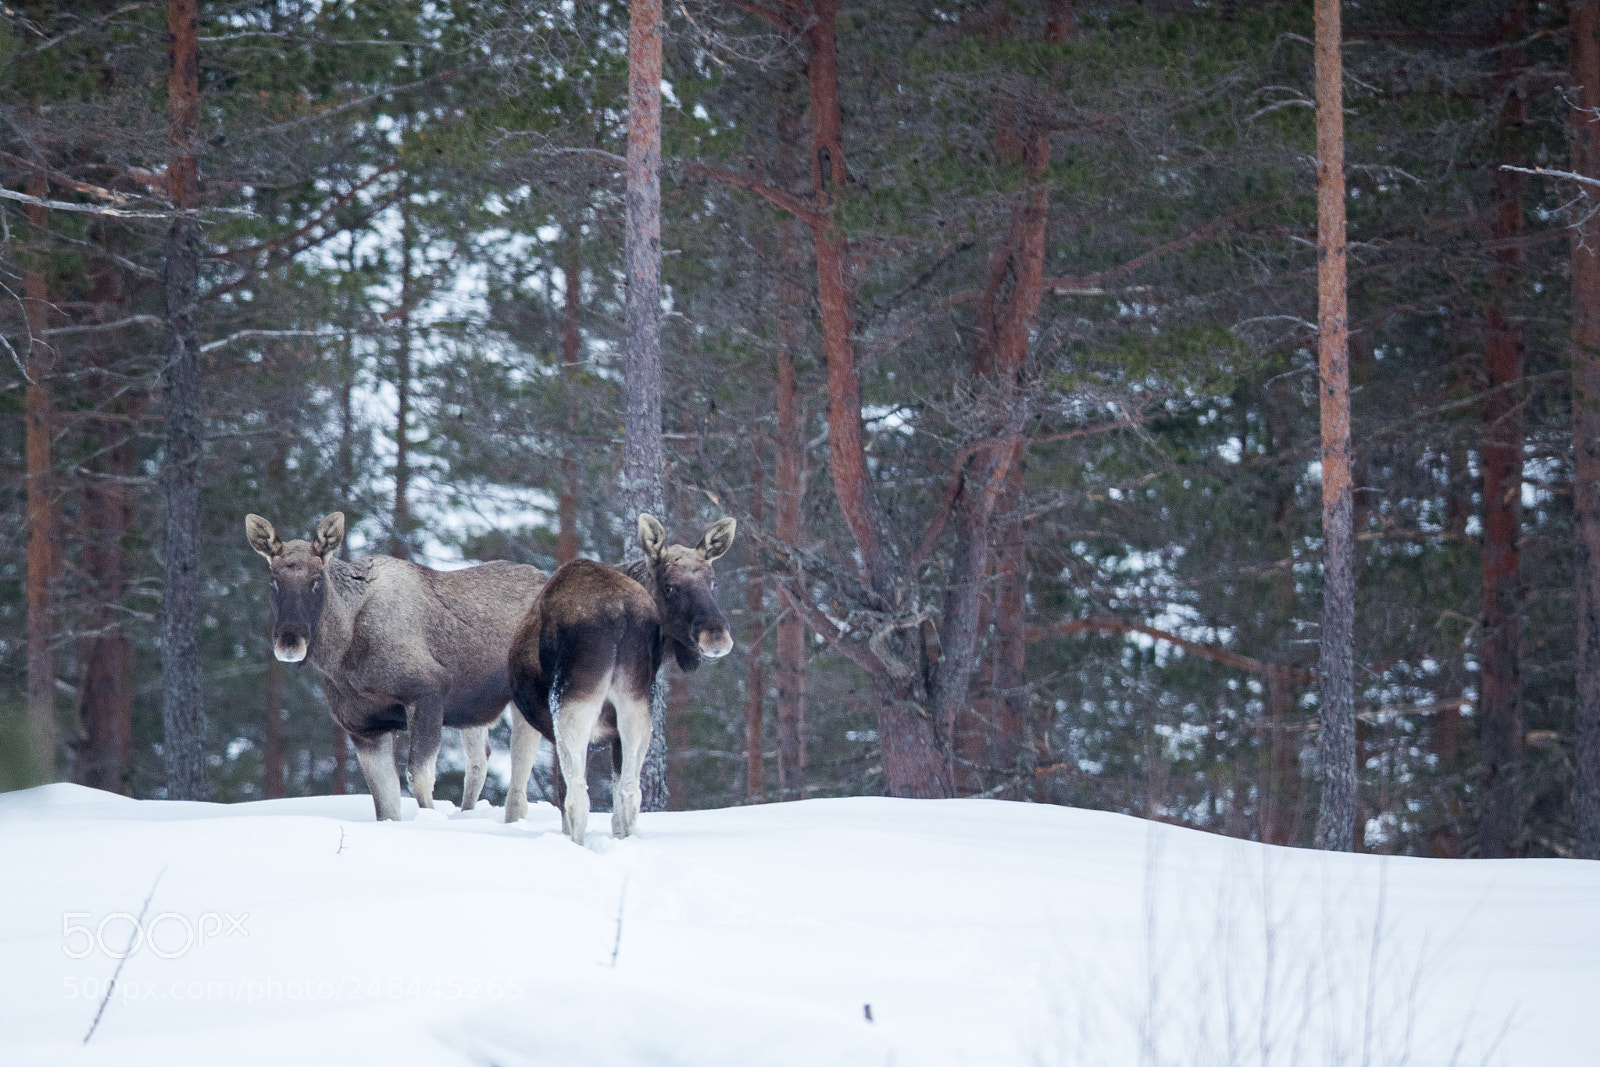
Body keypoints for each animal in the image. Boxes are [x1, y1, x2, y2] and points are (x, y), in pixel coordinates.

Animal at [245, 512, 546, 821]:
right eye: (273, 581)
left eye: (317, 580)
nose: (289, 642)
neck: (342, 657)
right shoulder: (363, 726)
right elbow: (386, 803)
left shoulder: (427, 693)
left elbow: (419, 780)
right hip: (473, 711)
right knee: (479, 762)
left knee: (520, 781)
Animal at [505, 514, 736, 844]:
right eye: (670, 587)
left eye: (713, 583)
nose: (716, 636)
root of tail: (619, 612)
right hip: (635, 704)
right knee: (629, 792)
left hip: (574, 701)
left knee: (577, 795)